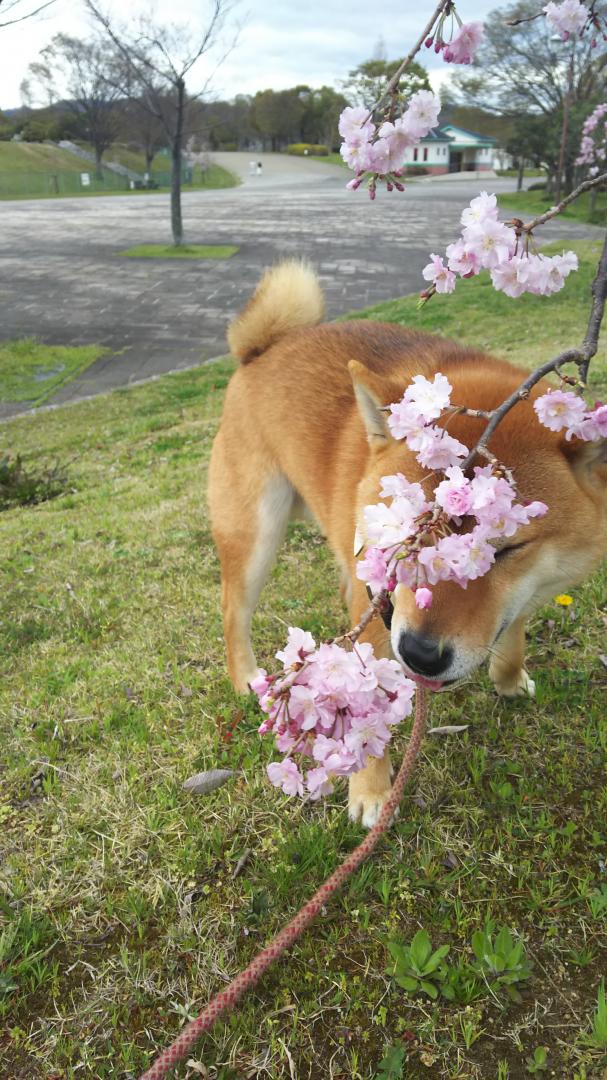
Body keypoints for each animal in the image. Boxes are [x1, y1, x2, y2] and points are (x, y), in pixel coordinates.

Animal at [207, 261, 604, 825]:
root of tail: (262, 350)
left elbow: (512, 632)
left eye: (506, 549)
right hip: (255, 532)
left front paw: (510, 680)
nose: (419, 654)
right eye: (406, 536)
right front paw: (372, 793)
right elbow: (363, 720)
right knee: (233, 609)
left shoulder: (518, 594)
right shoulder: (376, 611)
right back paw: (245, 677)